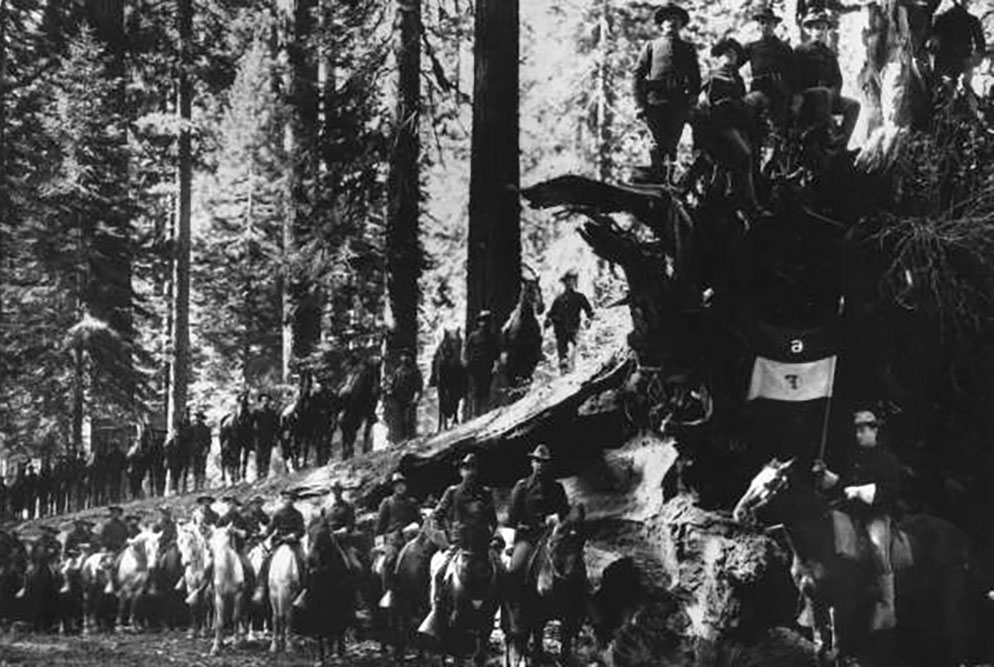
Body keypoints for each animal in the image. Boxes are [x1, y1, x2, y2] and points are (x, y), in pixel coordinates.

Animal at [504, 506, 588, 667]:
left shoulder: (568, 617)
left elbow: (565, 645)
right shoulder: (538, 615)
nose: (575, 575)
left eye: (582, 542)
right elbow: (537, 639)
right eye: (552, 544)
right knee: (514, 634)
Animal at [728, 460, 984, 667]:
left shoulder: (843, 604)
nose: (740, 513)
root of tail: (959, 535)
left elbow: (839, 648)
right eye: (753, 480)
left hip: (950, 588)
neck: (821, 539)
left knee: (954, 630)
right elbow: (820, 647)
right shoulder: (814, 599)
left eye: (771, 483)